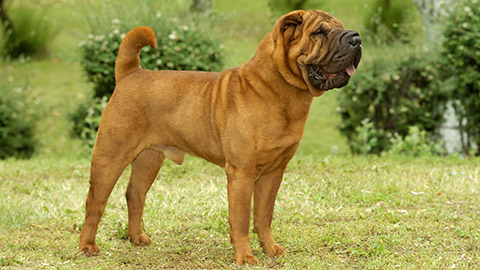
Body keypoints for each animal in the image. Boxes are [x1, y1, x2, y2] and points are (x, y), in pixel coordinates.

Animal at [79, 8, 360, 266]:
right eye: (319, 32)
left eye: (341, 26)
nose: (356, 38)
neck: (279, 91)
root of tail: (131, 73)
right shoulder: (241, 174)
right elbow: (241, 219)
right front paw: (245, 257)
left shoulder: (273, 173)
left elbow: (264, 216)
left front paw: (270, 249)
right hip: (110, 156)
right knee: (95, 202)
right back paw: (87, 246)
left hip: (149, 158)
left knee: (135, 195)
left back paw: (137, 238)